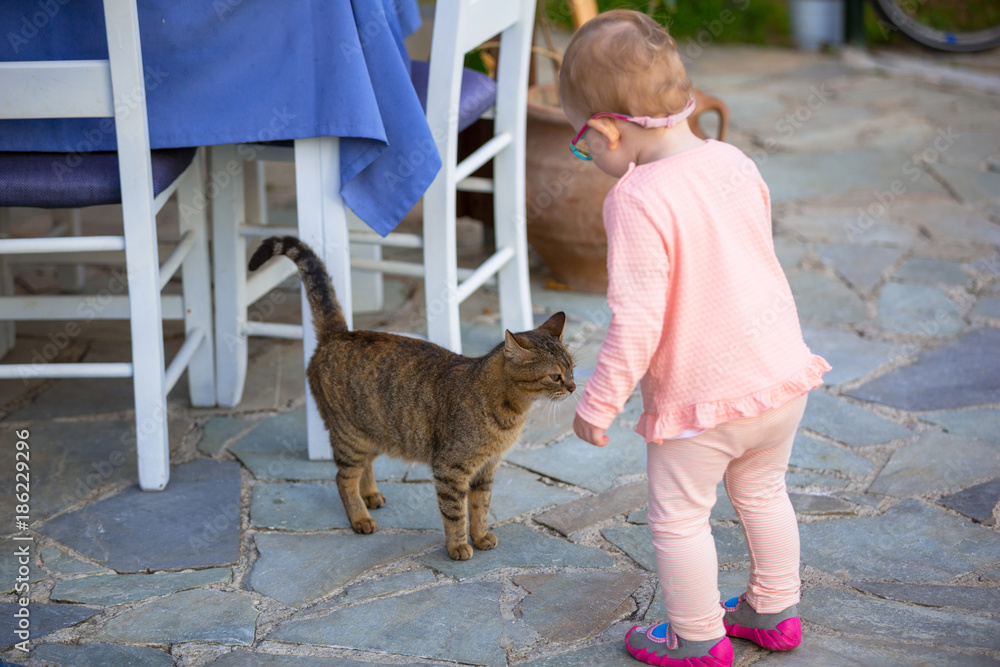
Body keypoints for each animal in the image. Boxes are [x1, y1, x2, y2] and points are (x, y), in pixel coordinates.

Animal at [249, 237, 576, 560]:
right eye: (555, 376)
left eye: (572, 368)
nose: (573, 387)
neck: (510, 411)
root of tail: (338, 333)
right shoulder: (451, 469)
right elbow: (456, 513)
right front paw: (458, 546)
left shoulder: (486, 469)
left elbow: (480, 507)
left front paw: (481, 536)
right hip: (348, 435)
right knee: (343, 479)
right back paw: (360, 517)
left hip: (374, 431)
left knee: (363, 468)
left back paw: (370, 495)